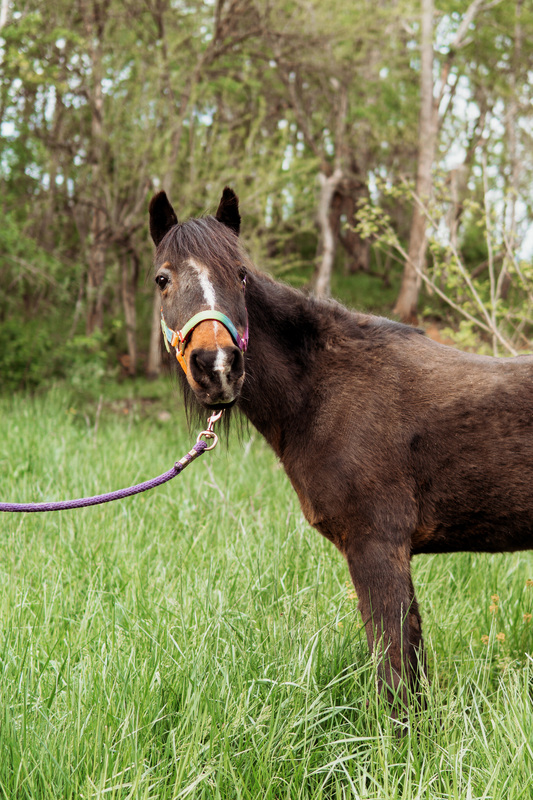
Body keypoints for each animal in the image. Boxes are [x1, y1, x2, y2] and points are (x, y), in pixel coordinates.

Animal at [148, 186, 532, 708]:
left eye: (241, 274)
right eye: (162, 279)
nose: (219, 365)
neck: (327, 392)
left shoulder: (376, 545)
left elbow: (394, 676)